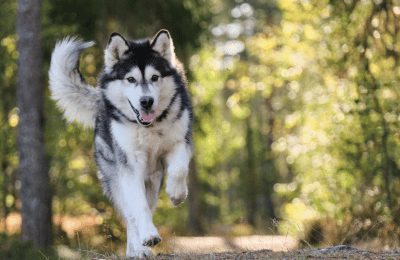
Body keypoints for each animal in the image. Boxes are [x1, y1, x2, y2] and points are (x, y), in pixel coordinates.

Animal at [49, 29, 193, 256]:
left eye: (155, 77)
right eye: (131, 79)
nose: (146, 101)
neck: (149, 128)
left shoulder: (180, 142)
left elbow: (179, 169)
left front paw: (177, 194)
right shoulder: (130, 166)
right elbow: (139, 208)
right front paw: (148, 236)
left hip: (152, 182)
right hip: (118, 179)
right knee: (132, 215)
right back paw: (138, 249)